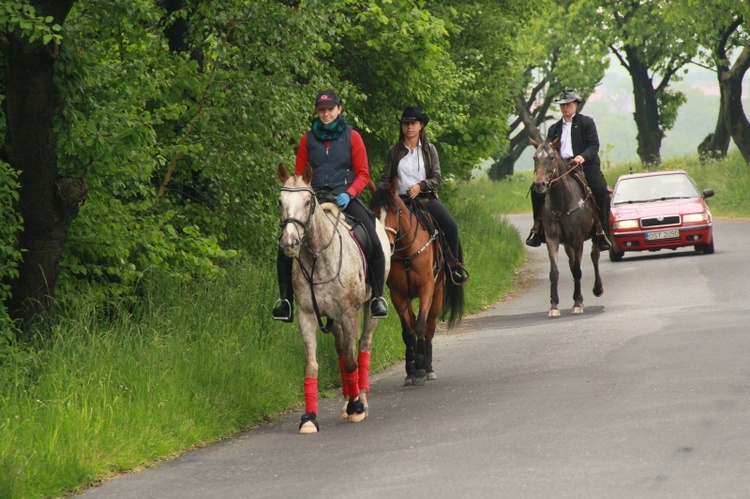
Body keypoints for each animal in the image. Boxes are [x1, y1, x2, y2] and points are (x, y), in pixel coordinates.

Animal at [278, 164, 394, 434]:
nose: (289, 243)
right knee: (343, 350)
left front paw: (357, 408)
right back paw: (347, 400)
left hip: (367, 310)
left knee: (363, 346)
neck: (318, 259)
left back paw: (360, 398)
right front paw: (309, 418)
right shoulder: (307, 317)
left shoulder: (348, 314)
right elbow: (312, 366)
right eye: (280, 201)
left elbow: (352, 362)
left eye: (307, 201)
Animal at [370, 180, 464, 386]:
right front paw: (410, 371)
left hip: (437, 295)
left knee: (429, 328)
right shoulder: (398, 294)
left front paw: (421, 369)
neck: (406, 252)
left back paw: (428, 369)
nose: (386, 245)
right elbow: (408, 331)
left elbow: (421, 326)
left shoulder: (426, 289)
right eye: (373, 212)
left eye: (396, 211)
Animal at [532, 138, 608, 316]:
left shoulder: (578, 241)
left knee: (594, 256)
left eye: (551, 157)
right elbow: (554, 272)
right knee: (572, 262)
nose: (539, 185)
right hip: (567, 244)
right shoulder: (552, 240)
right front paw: (554, 306)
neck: (562, 202)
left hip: (594, 237)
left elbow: (577, 271)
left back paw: (598, 288)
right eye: (535, 158)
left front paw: (577, 303)